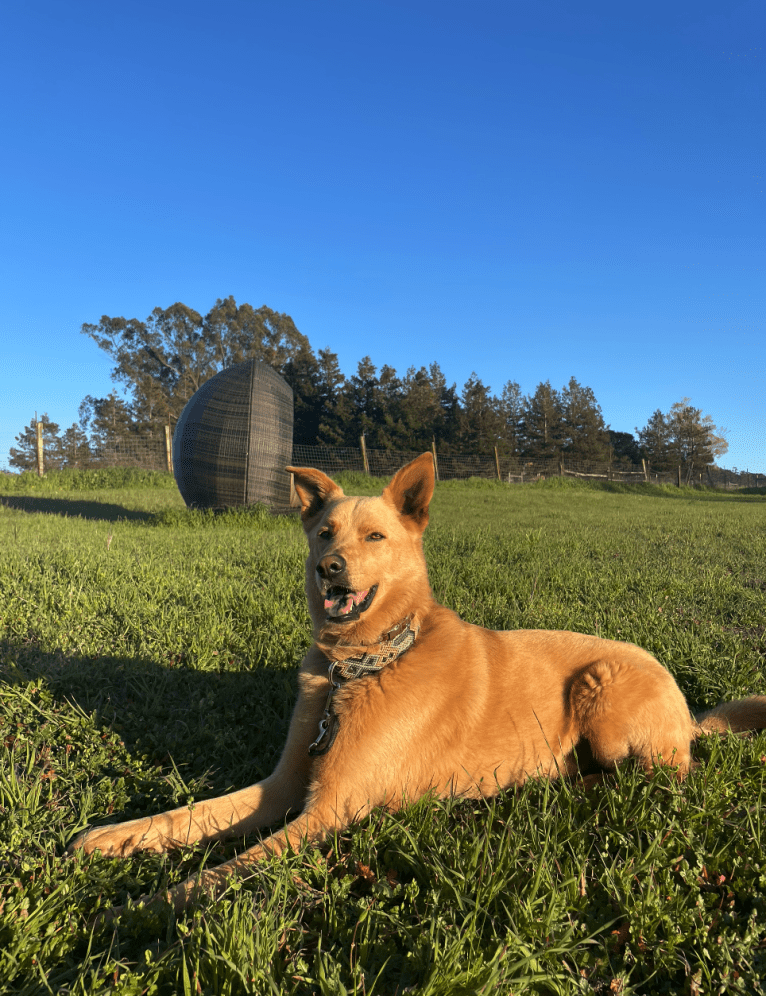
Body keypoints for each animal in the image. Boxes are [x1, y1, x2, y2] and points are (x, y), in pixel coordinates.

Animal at [70, 456, 766, 916]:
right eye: (324, 533)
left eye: (375, 536)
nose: (329, 569)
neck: (361, 668)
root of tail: (686, 708)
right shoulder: (282, 787)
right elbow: (194, 815)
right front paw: (113, 838)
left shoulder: (328, 810)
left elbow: (229, 869)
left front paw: (137, 910)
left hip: (605, 696)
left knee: (661, 776)